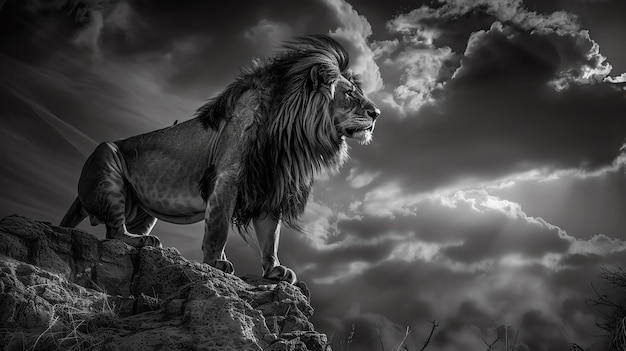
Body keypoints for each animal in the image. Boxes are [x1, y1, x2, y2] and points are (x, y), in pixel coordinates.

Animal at [59, 34, 380, 284]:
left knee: (115, 233)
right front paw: (215, 262)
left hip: (144, 210)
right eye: (350, 94)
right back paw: (139, 241)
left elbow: (270, 236)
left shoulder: (269, 186)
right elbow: (218, 227)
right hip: (105, 157)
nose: (377, 113)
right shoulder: (228, 177)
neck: (291, 138)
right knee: (115, 231)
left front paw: (274, 270)